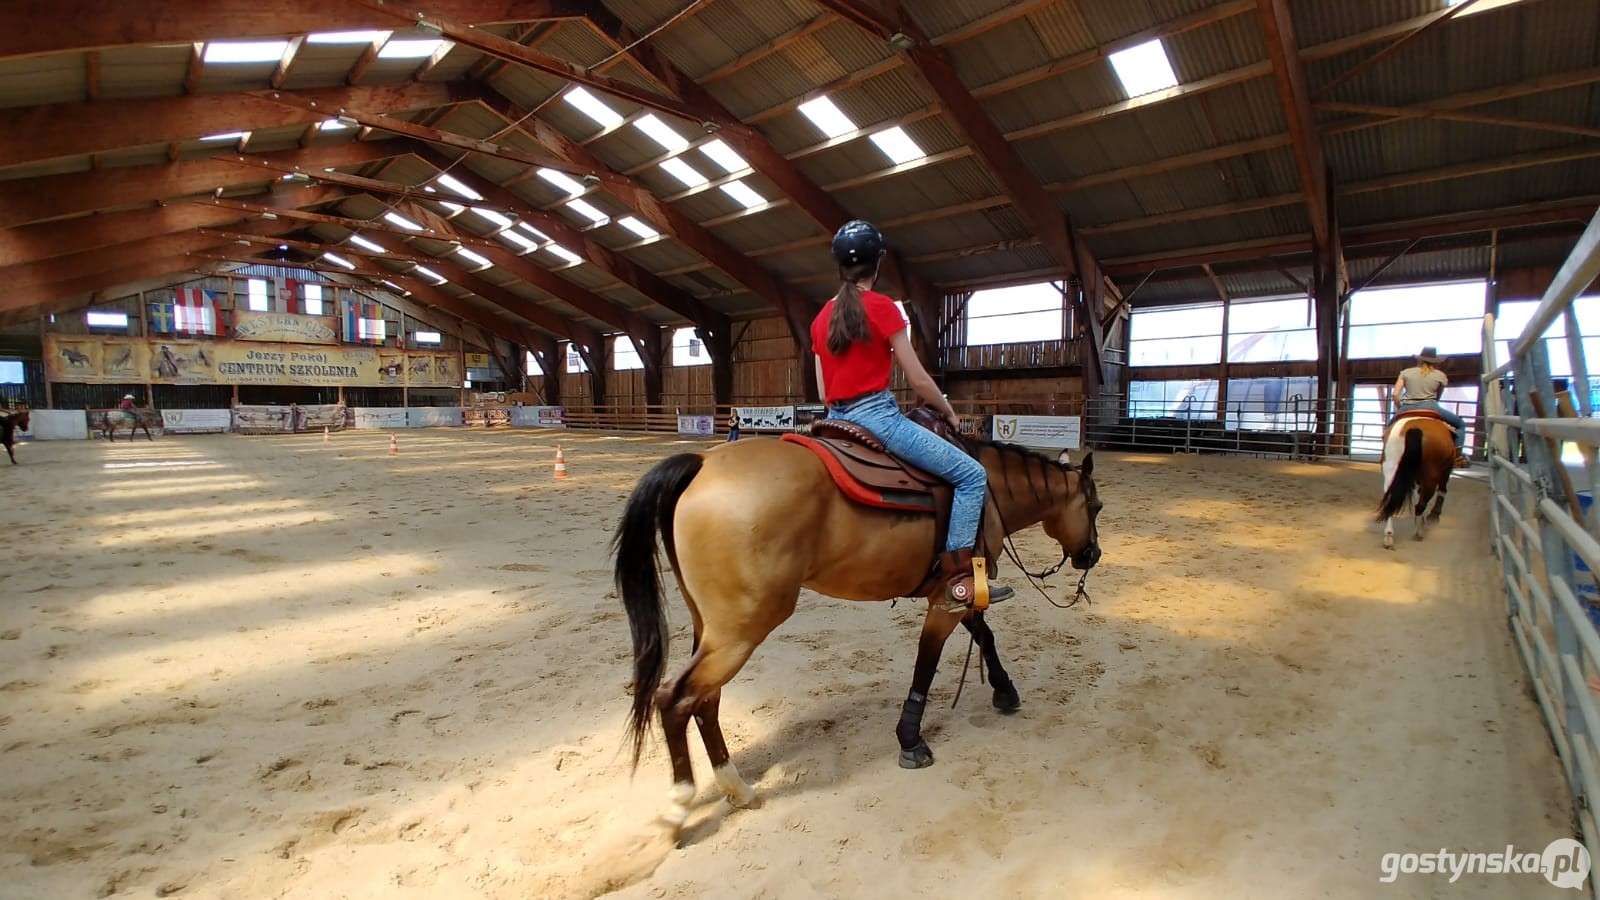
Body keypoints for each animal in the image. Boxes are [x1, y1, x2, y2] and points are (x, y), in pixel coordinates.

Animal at [611, 409, 1100, 839]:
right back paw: (679, 807)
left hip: (713, 629)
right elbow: (928, 663)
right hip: (740, 632)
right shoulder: (948, 601)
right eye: (1095, 506)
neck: (989, 489)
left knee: (704, 700)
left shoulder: (956, 595)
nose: (1091, 555)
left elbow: (985, 637)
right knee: (675, 699)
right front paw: (911, 740)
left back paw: (736, 788)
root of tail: (703, 464)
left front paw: (1004, 690)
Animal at [1369, 408, 1459, 547]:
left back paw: (1389, 536)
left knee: (1391, 501)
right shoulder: (1445, 471)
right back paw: (1419, 531)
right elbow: (1442, 491)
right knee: (1421, 504)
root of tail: (1414, 429)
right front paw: (1434, 517)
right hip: (1431, 477)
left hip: (1391, 470)